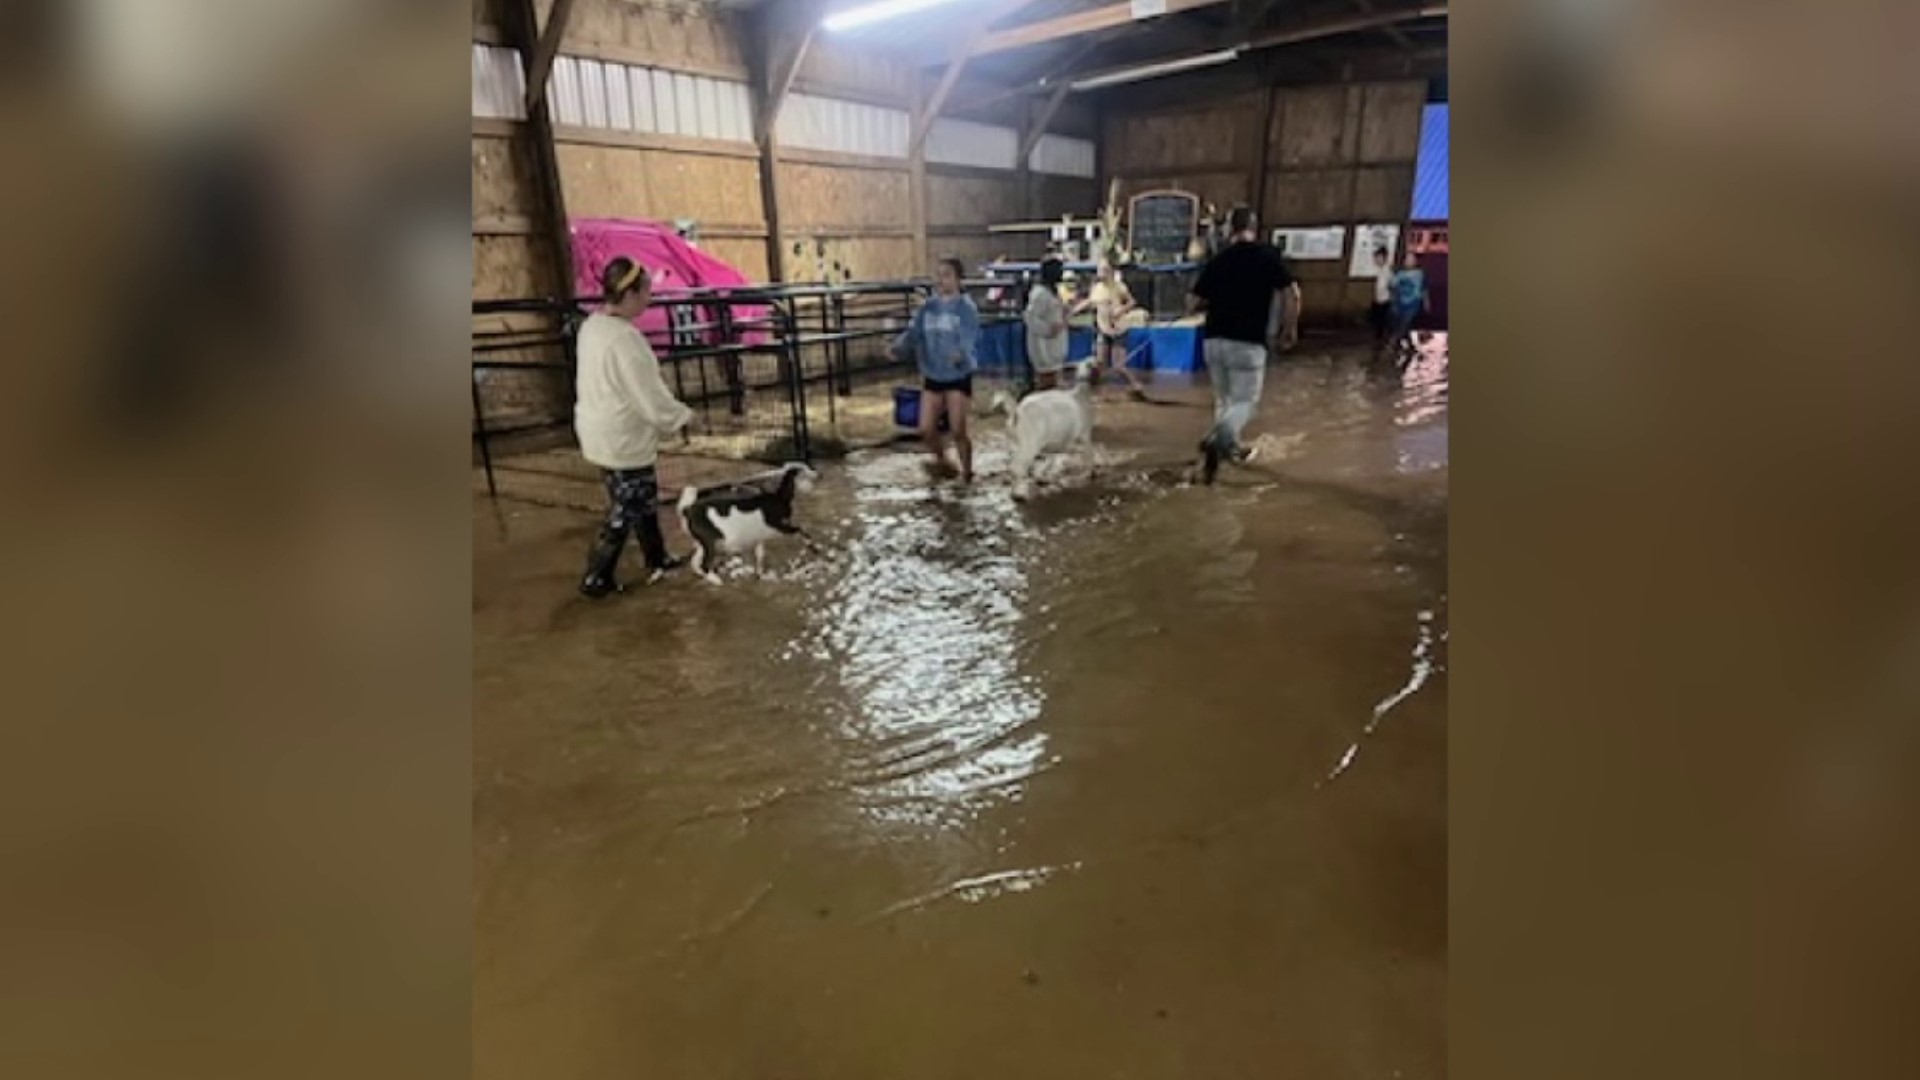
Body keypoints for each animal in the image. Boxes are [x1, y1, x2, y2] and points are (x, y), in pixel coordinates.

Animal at [675, 461, 817, 580]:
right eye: (803, 473)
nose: (817, 475)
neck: (778, 498)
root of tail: (687, 510)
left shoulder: (761, 536)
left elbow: (760, 554)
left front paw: (760, 573)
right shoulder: (778, 526)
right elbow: (799, 529)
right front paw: (813, 547)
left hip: (701, 541)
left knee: (695, 562)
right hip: (710, 541)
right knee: (704, 563)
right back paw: (716, 580)